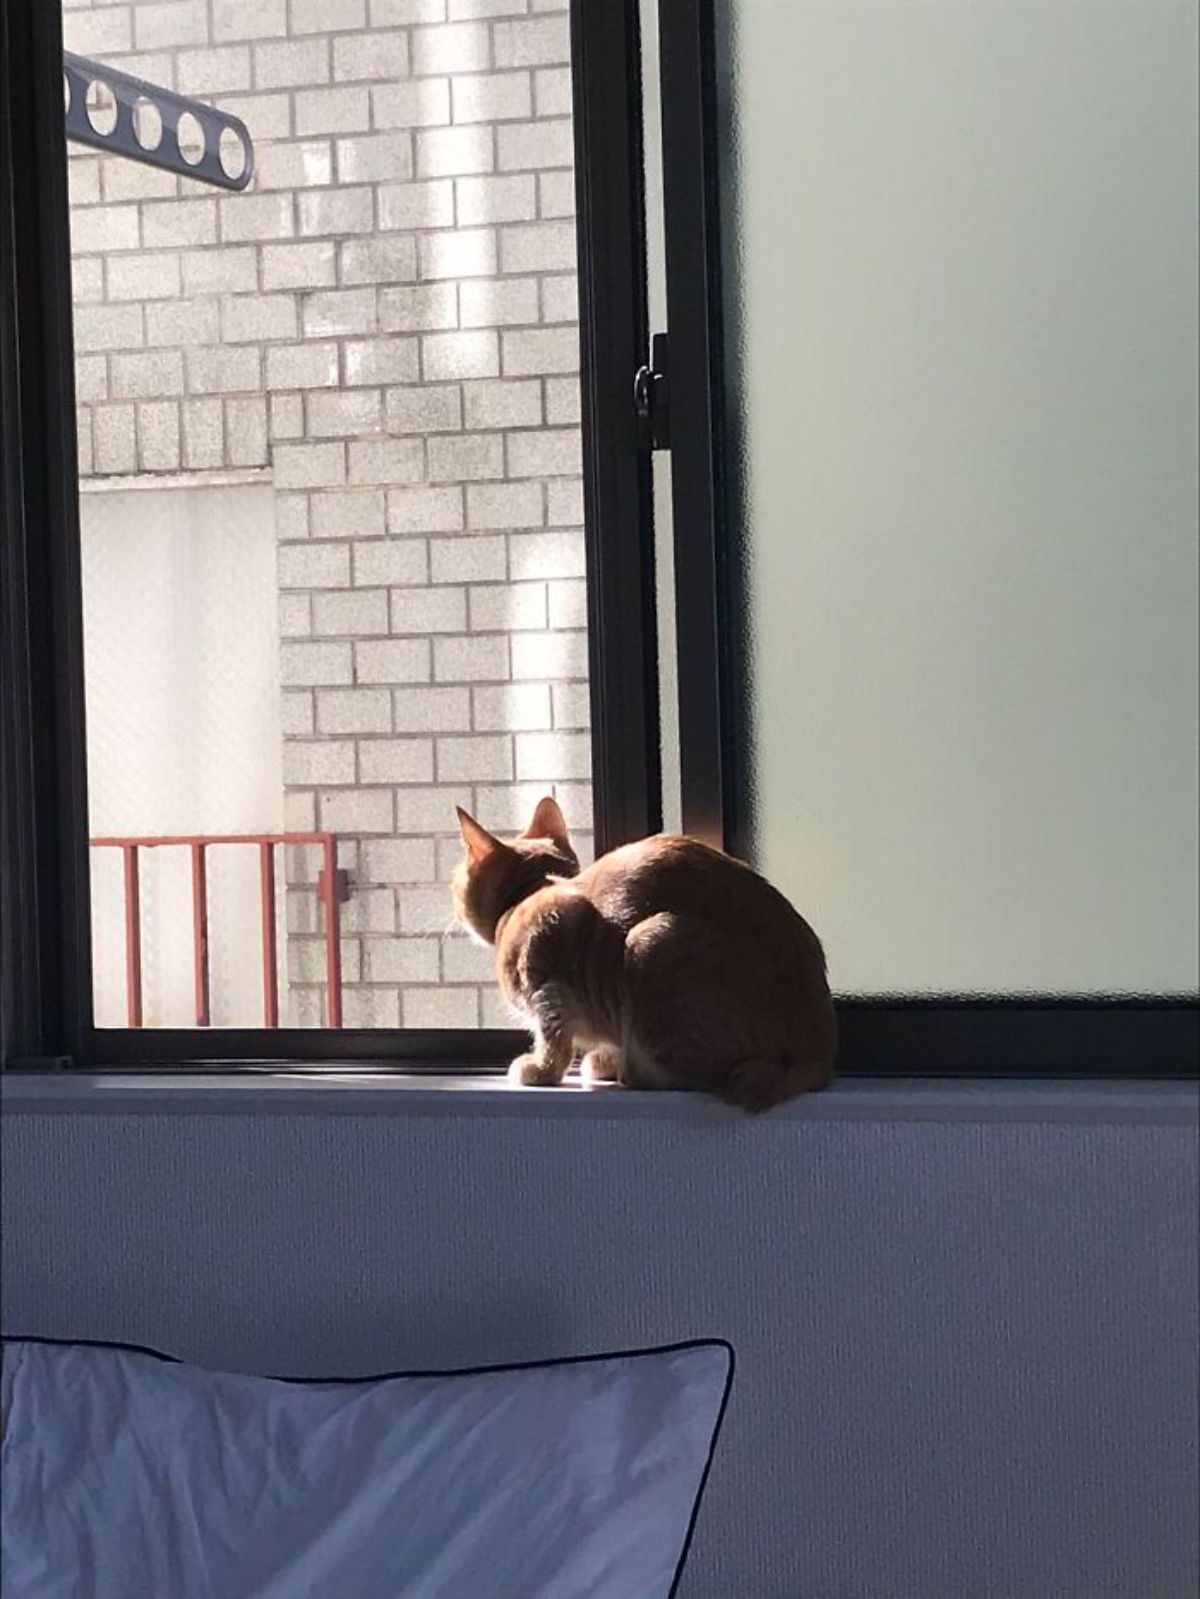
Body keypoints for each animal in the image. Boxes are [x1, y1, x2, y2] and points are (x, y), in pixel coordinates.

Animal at [451, 793, 838, 1106]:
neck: (531, 891)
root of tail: (817, 1054)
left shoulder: (549, 966)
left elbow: (552, 1036)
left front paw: (540, 1070)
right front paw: (602, 1060)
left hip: (652, 941)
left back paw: (632, 1071)